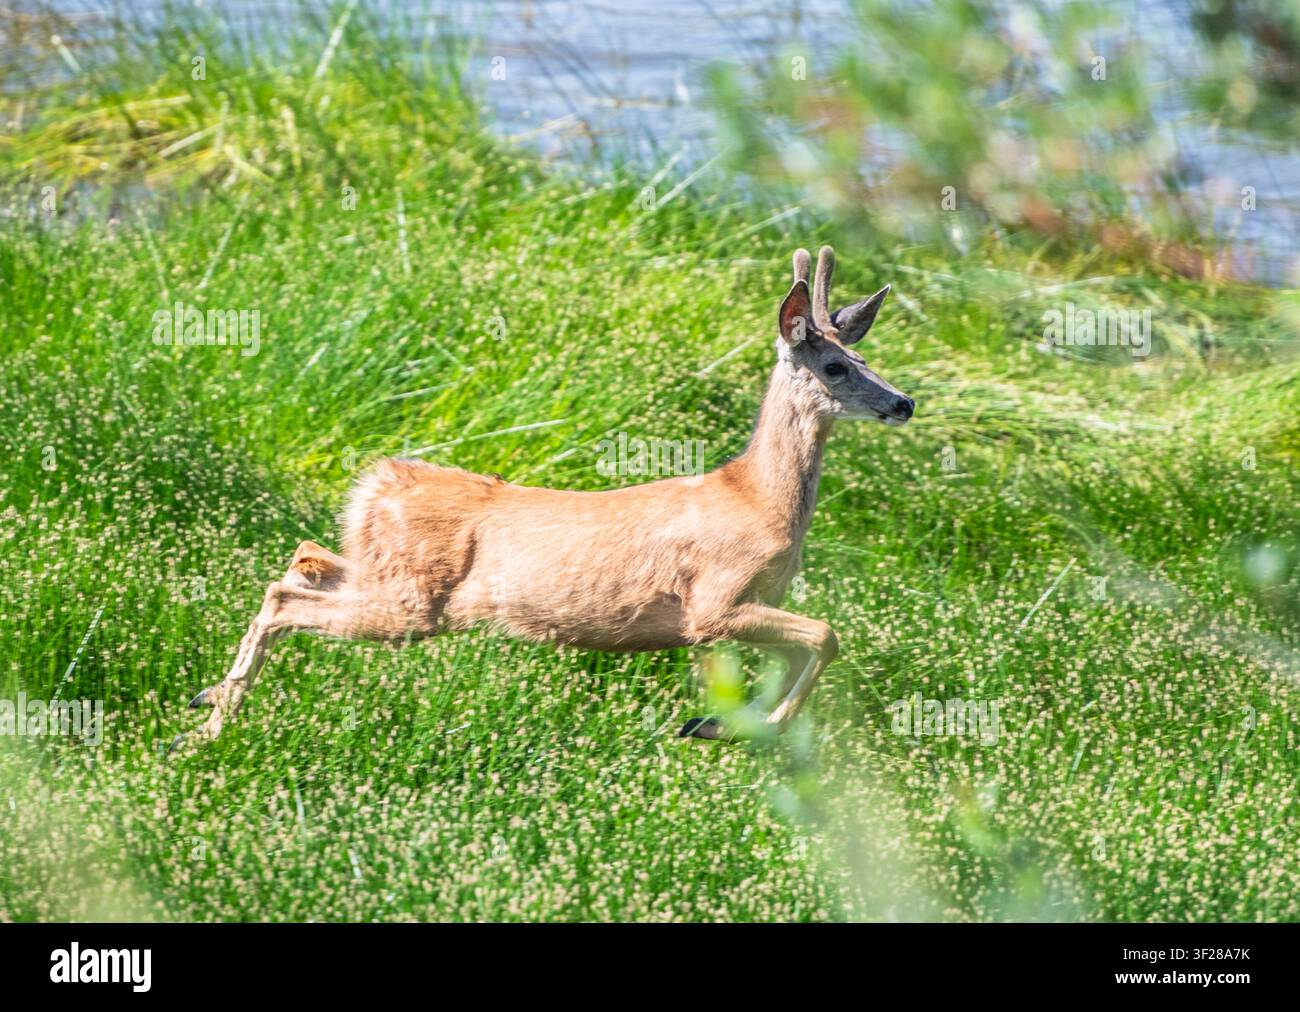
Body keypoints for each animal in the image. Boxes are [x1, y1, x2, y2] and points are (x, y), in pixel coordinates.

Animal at [182, 246, 913, 747]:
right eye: (836, 366)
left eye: (868, 358)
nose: (904, 402)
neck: (758, 499)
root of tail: (373, 485)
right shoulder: (715, 602)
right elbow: (827, 635)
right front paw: (728, 727)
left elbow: (803, 649)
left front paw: (721, 723)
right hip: (412, 602)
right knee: (285, 599)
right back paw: (213, 723)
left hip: (385, 575)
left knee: (298, 564)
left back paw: (206, 702)